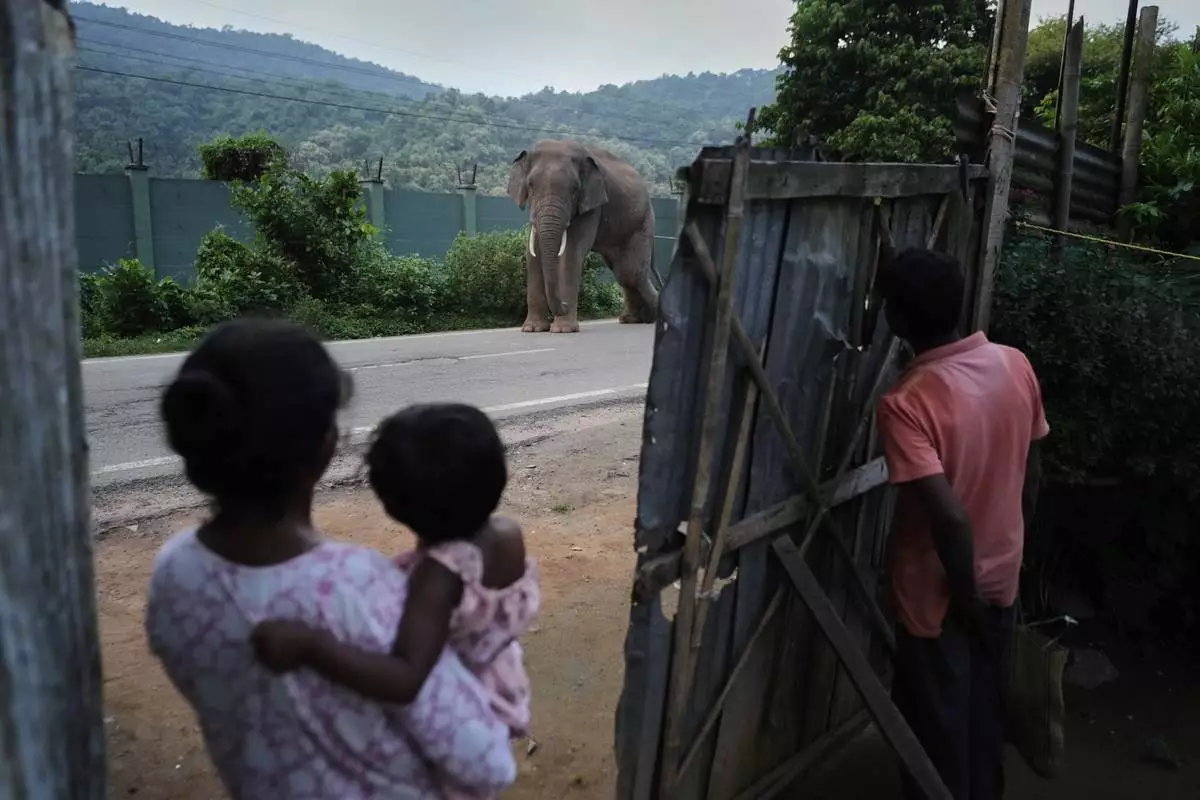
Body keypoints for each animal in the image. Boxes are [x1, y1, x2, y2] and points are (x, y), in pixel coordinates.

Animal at [507, 140, 660, 334]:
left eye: (575, 189)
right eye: (531, 185)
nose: (563, 305)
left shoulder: (592, 205)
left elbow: (572, 251)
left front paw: (562, 330)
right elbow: (533, 253)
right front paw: (532, 329)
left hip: (643, 222)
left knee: (629, 272)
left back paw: (651, 316)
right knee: (623, 273)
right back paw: (632, 319)